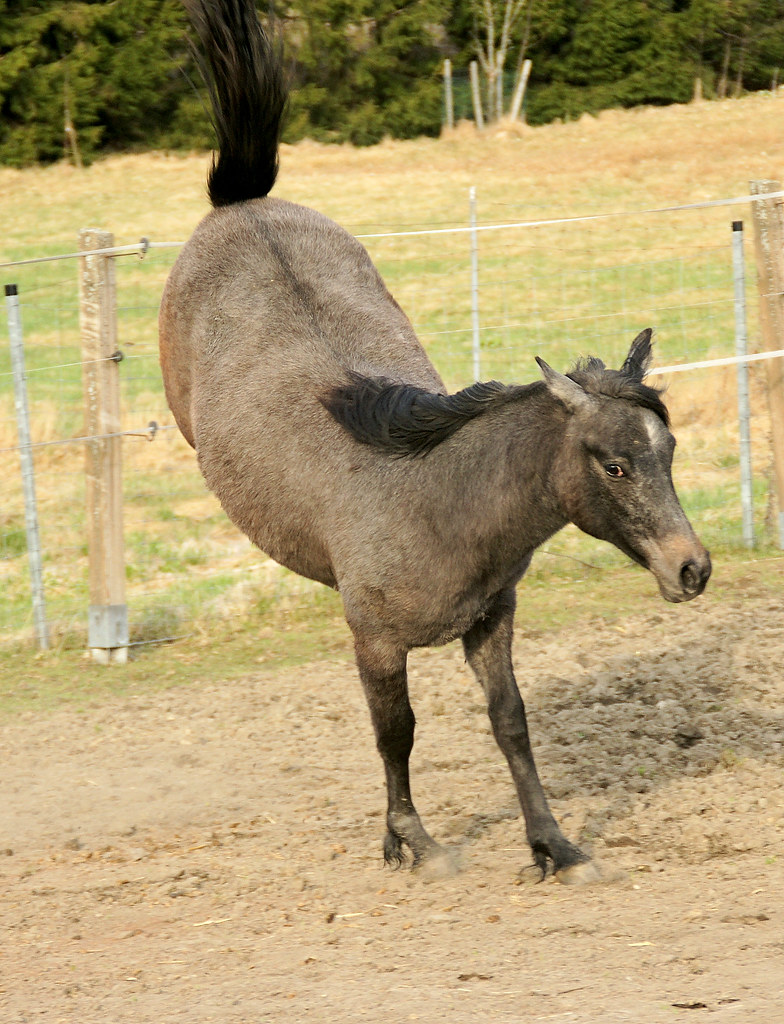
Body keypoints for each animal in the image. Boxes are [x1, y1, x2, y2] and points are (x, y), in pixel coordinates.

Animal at [159, 0, 711, 881]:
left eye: (668, 452)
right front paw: (410, 841)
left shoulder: (492, 619)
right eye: (615, 464)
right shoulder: (378, 643)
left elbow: (510, 722)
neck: (433, 501)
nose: (692, 569)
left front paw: (553, 845)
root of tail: (242, 203)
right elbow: (398, 733)